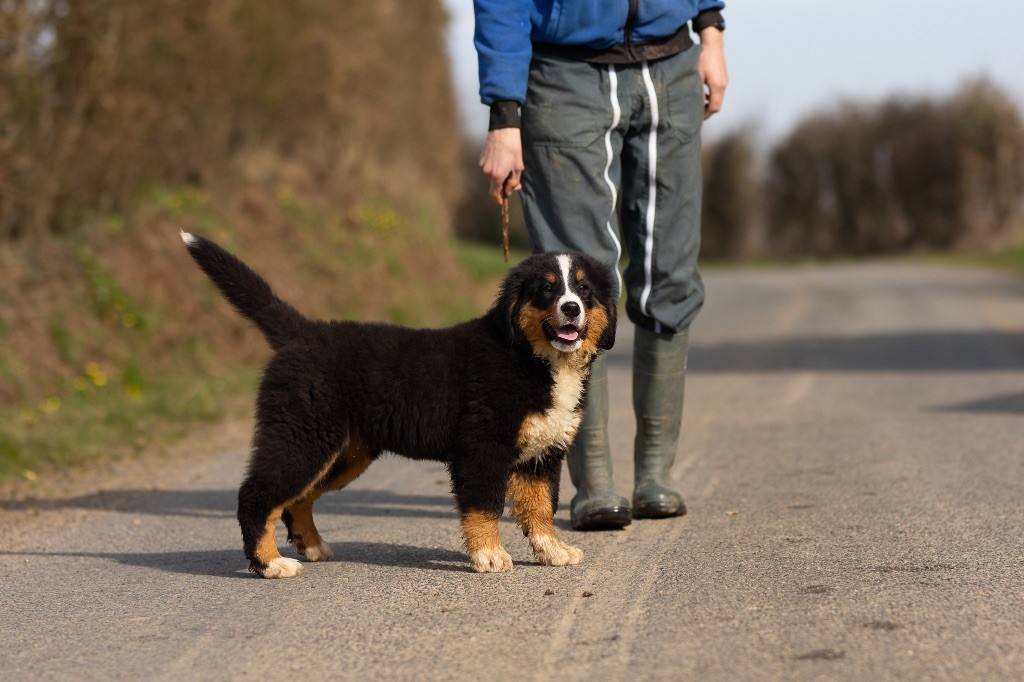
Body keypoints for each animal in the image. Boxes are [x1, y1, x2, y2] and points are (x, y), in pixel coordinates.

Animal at [181, 231, 614, 577]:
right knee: (256, 495)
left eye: (584, 289)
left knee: (297, 498)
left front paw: (553, 550)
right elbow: (483, 506)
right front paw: (489, 555)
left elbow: (541, 507)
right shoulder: (481, 448)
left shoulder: (541, 454)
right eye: (546, 289)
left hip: (343, 453)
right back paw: (269, 564)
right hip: (302, 436)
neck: (530, 357)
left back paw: (311, 546)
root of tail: (303, 332)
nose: (571, 308)